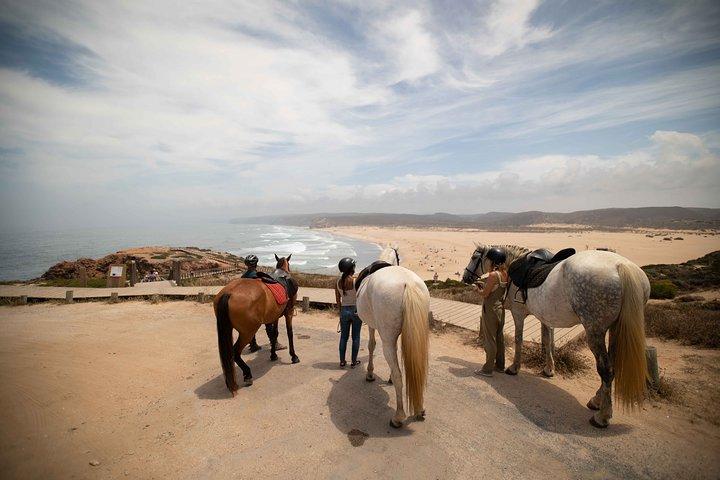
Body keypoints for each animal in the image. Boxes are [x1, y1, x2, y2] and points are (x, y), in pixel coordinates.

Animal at [214, 254, 299, 395]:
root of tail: (228, 293)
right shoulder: (289, 312)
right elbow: (289, 333)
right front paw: (294, 356)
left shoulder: (275, 315)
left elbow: (274, 334)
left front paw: (273, 354)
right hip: (247, 332)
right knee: (235, 352)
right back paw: (247, 374)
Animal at [357, 245, 431, 428]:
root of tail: (407, 283)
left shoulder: (372, 326)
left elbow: (371, 345)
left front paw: (370, 373)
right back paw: (420, 409)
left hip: (387, 339)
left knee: (399, 376)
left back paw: (398, 417)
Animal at [462, 244, 650, 428]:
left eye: (474, 257)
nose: (465, 277)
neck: (513, 266)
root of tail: (622, 266)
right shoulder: (545, 316)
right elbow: (547, 341)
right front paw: (549, 369)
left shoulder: (518, 312)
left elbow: (518, 340)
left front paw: (514, 368)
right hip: (613, 329)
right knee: (612, 366)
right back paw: (597, 401)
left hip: (594, 331)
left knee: (606, 370)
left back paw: (602, 416)